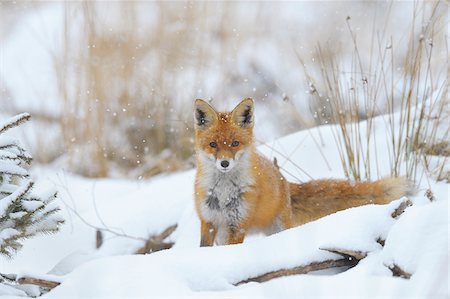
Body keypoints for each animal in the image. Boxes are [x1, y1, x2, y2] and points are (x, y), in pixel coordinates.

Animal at [193, 98, 412, 246]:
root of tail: (284, 181)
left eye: (234, 143)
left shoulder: (237, 224)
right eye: (213, 145)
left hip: (277, 228)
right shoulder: (208, 221)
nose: (224, 163)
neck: (223, 193)